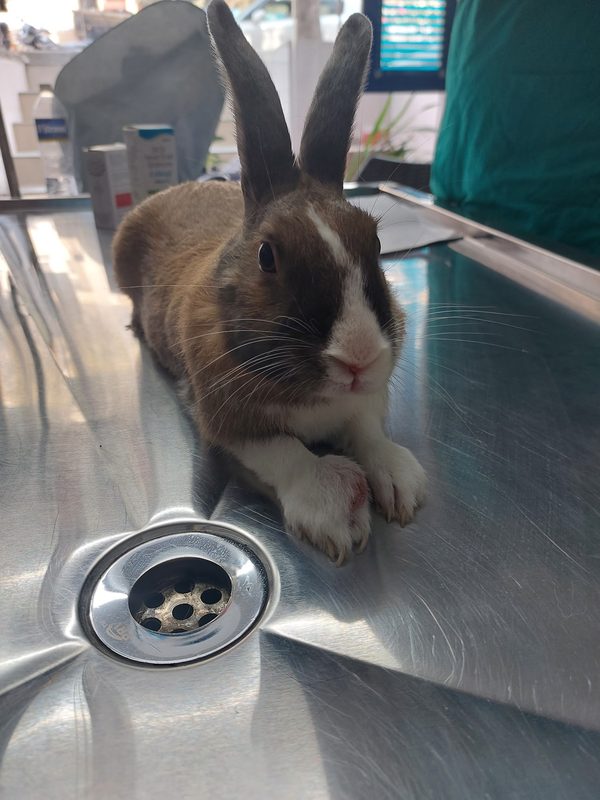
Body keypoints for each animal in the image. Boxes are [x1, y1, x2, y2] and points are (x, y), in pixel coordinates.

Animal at [113, 0, 426, 564]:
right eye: (267, 257)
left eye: (374, 242)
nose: (358, 359)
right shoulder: (224, 420)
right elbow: (284, 452)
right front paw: (334, 512)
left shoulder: (365, 400)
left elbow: (367, 430)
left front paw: (398, 482)